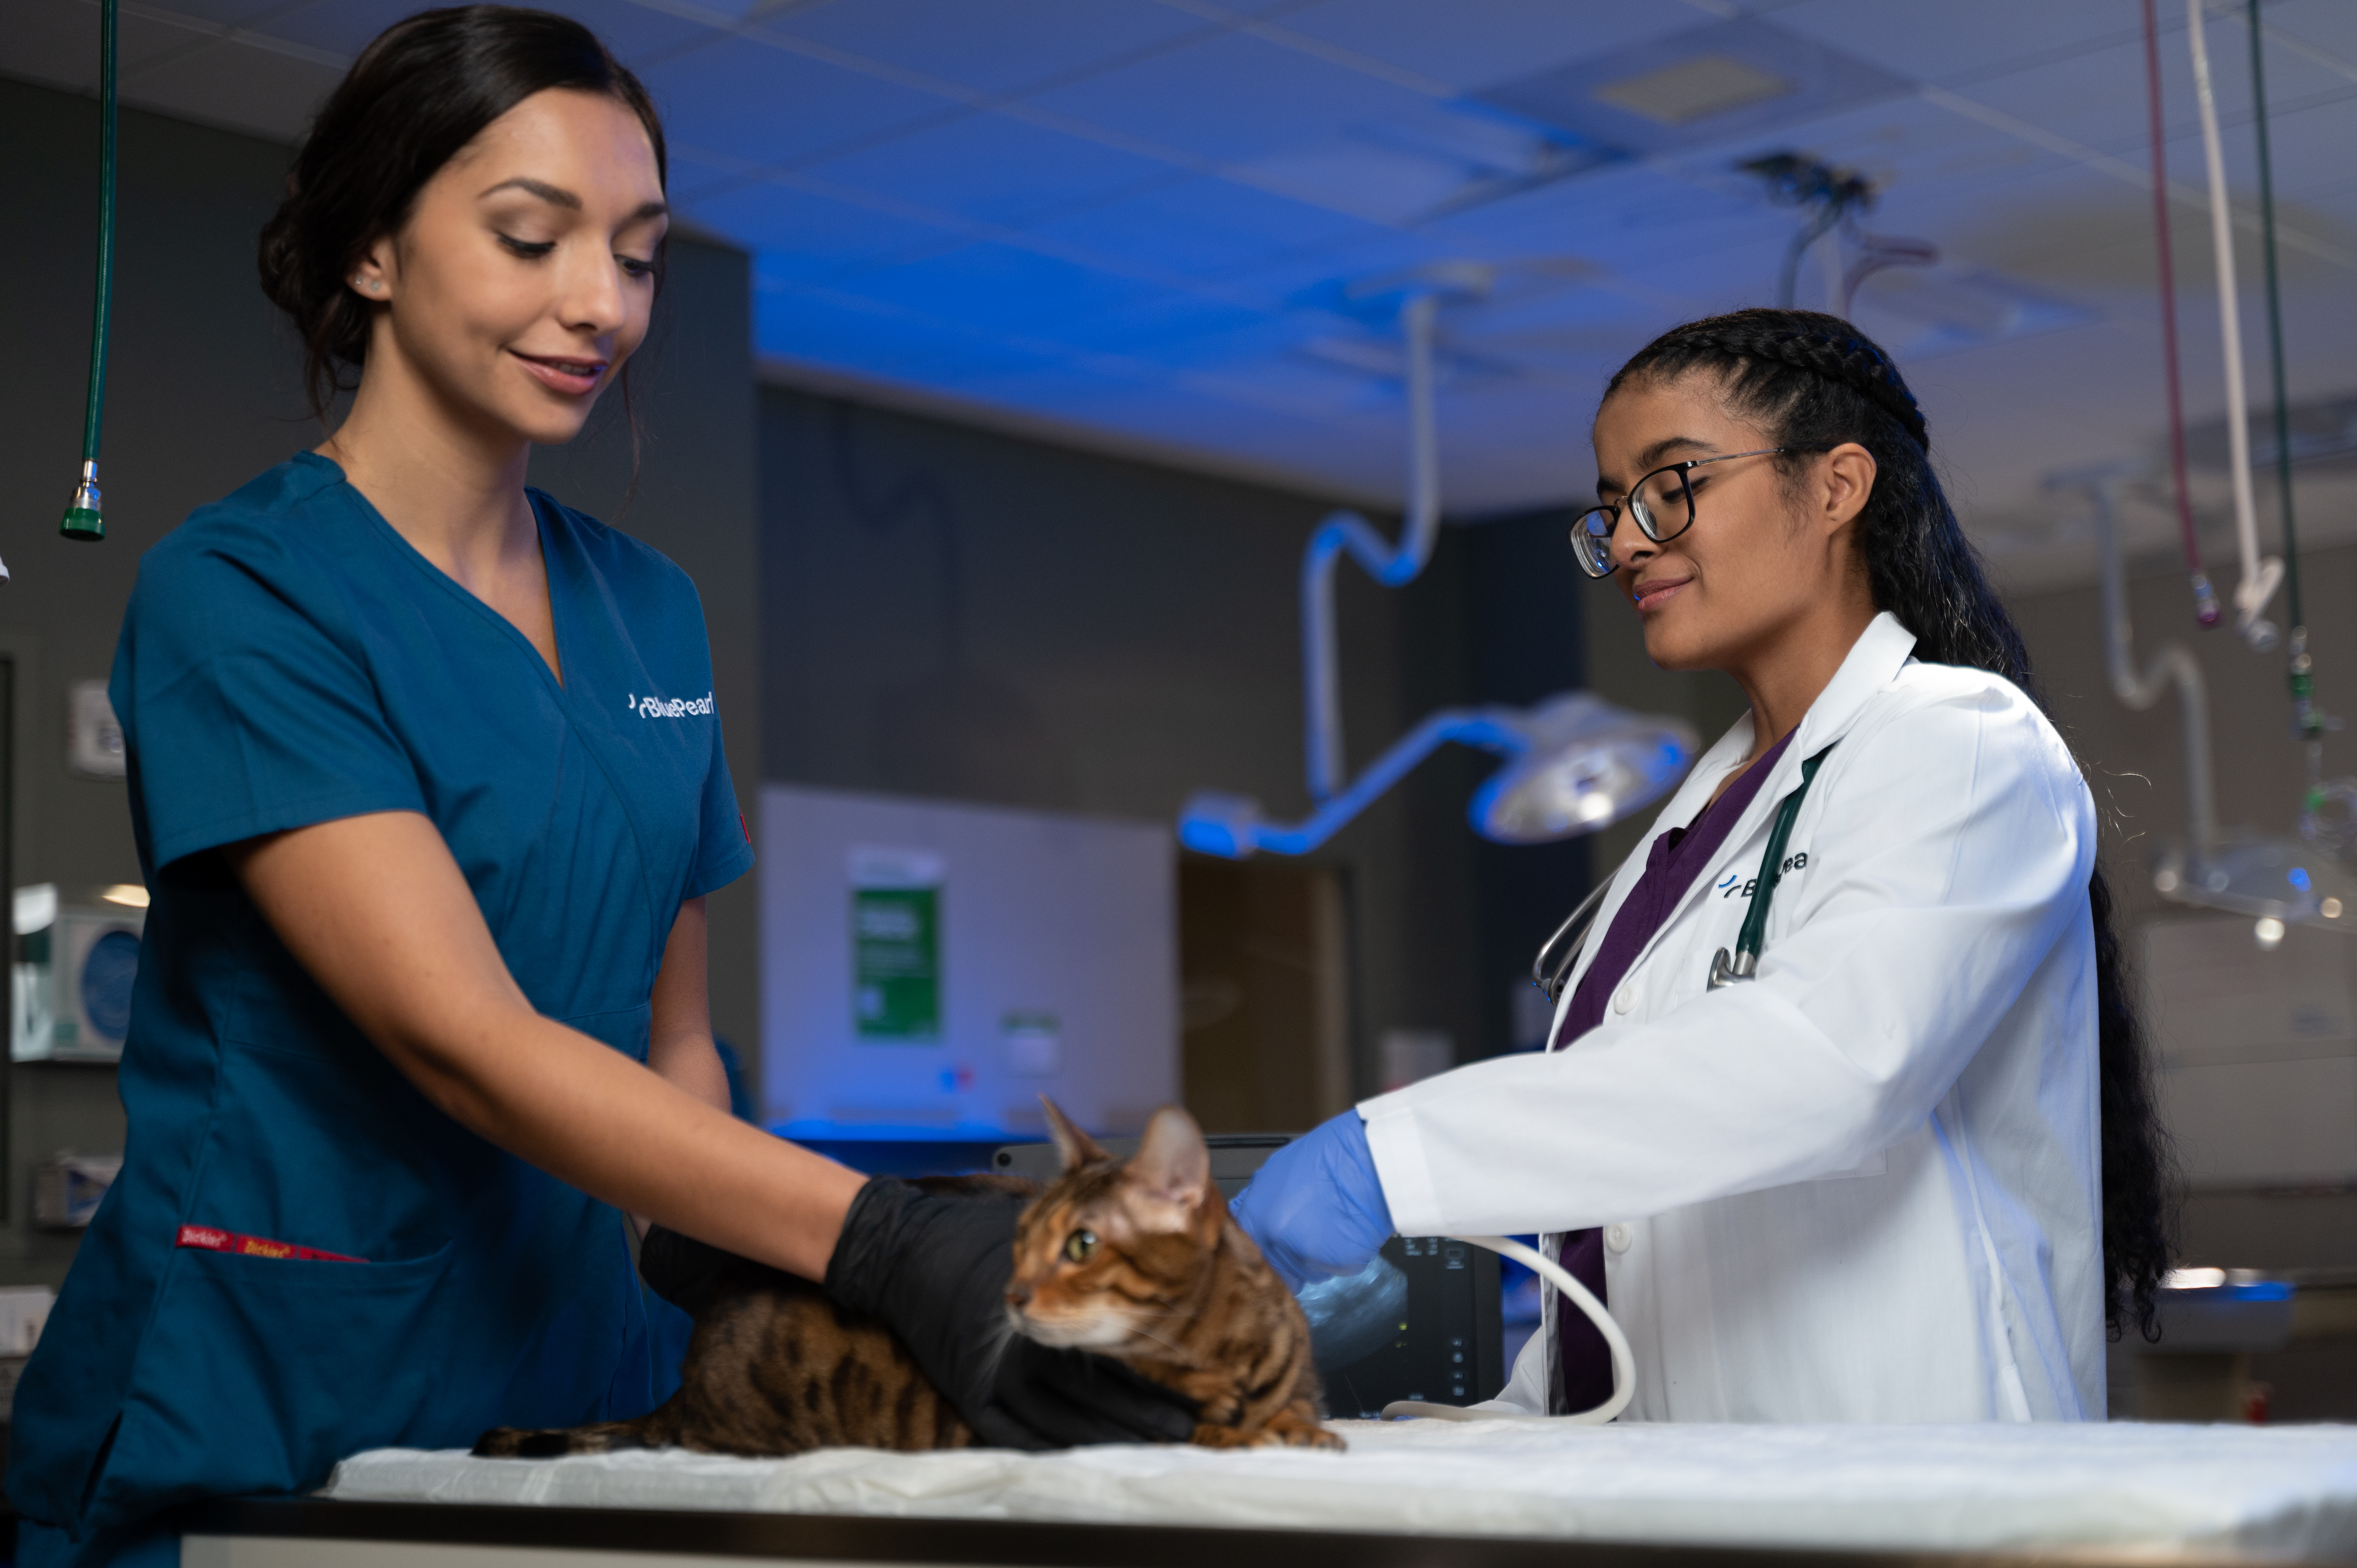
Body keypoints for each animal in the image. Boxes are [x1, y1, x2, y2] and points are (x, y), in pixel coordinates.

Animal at [474, 1098, 1348, 1452]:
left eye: (1081, 1244)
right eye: (1018, 1242)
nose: (1011, 1294)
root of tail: (685, 1382)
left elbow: (1300, 1414)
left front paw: (1297, 1425)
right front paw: (1247, 1430)